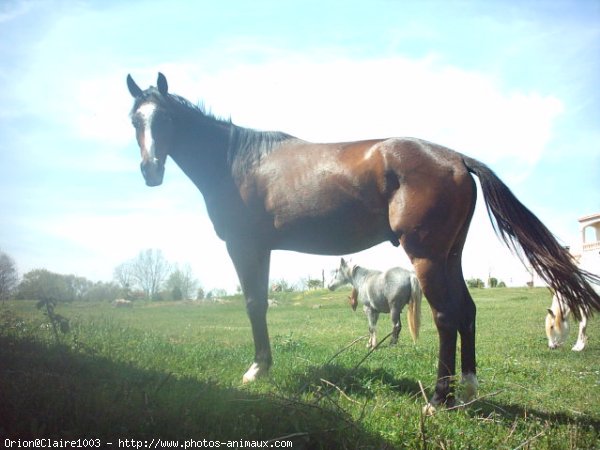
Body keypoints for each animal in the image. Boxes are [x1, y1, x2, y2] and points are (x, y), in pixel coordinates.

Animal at [126, 72, 600, 410]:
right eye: (135, 119)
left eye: (166, 119)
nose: (150, 170)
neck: (239, 163)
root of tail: (458, 159)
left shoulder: (246, 247)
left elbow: (254, 304)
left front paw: (257, 370)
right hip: (450, 256)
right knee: (466, 312)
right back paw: (466, 390)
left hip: (427, 257)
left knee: (446, 316)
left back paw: (439, 399)